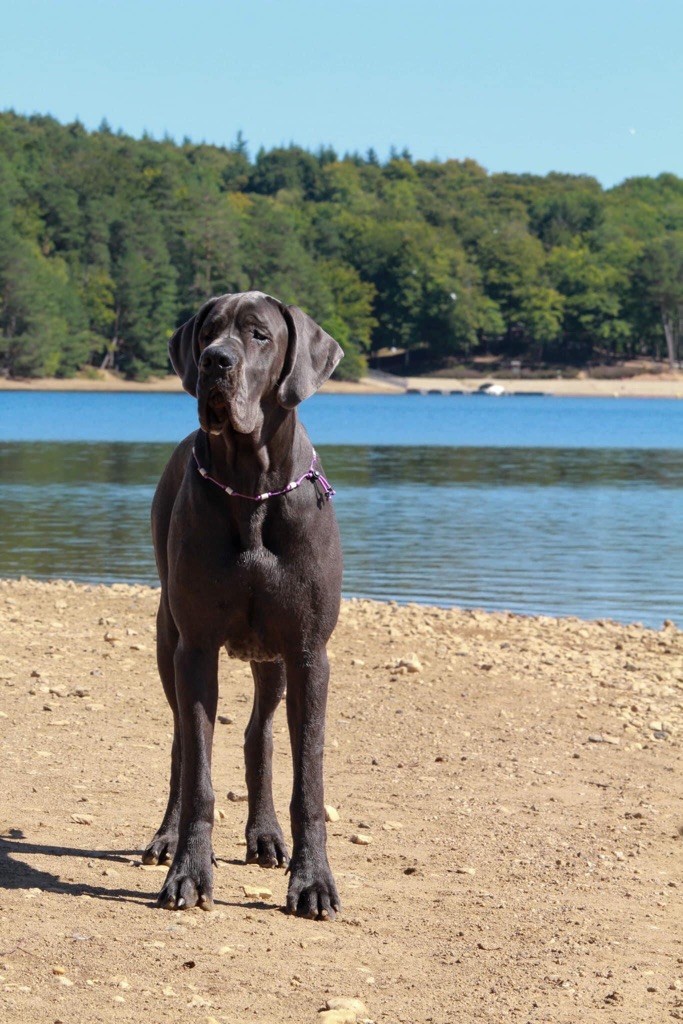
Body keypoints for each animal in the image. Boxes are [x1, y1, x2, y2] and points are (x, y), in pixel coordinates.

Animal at [145, 290, 348, 921]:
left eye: (259, 335)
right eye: (208, 331)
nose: (215, 361)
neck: (252, 484)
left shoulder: (308, 652)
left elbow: (309, 781)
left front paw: (313, 882)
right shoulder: (196, 647)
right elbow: (198, 775)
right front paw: (189, 872)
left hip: (273, 658)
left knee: (259, 735)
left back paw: (265, 836)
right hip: (168, 641)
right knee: (182, 744)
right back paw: (165, 837)